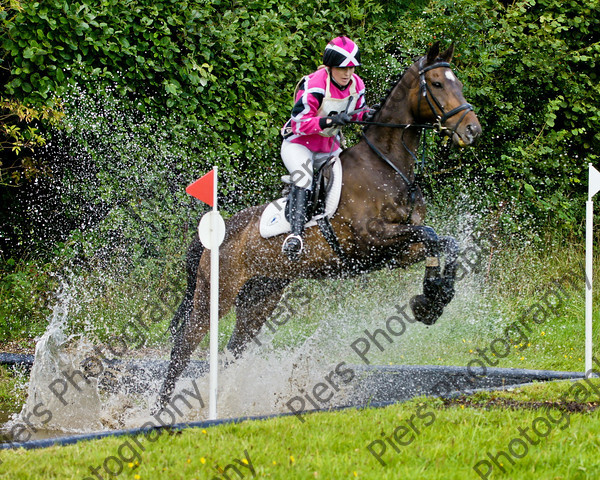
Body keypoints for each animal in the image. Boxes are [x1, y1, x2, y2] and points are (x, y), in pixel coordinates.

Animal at [157, 43, 480, 406]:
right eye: (437, 84)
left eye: (458, 83)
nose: (473, 129)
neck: (387, 167)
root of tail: (214, 234)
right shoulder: (372, 239)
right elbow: (433, 235)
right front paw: (432, 297)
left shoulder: (395, 251)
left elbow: (443, 241)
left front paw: (432, 300)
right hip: (215, 296)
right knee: (184, 345)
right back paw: (162, 409)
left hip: (260, 297)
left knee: (231, 350)